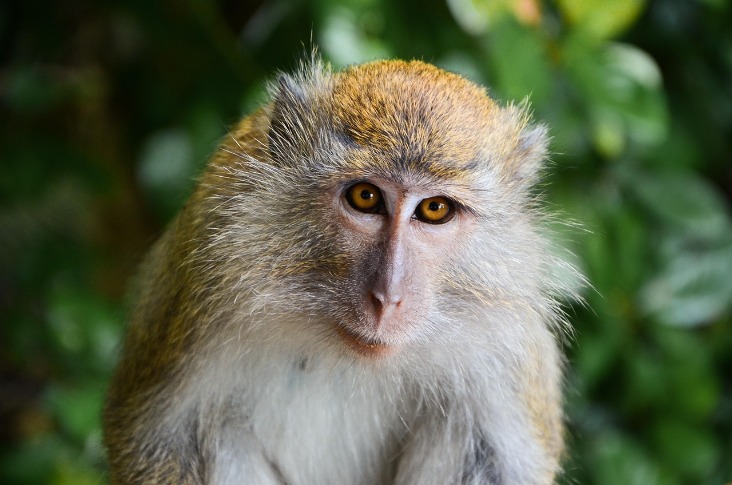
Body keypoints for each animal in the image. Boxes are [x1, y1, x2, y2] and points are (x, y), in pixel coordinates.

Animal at [103, 57, 576, 485]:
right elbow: (160, 439)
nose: (388, 297)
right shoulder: (207, 273)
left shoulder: (508, 343)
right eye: (365, 197)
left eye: (434, 209)